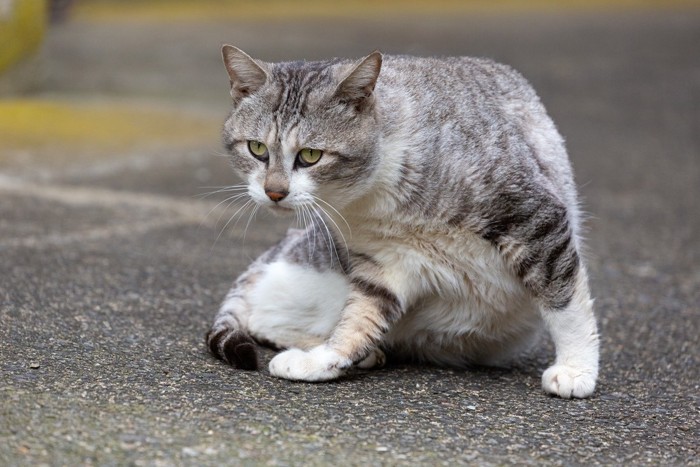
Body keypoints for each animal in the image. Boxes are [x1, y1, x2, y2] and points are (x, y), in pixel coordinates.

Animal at [205, 45, 600, 400]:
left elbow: (565, 301)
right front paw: (322, 360)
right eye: (257, 149)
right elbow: (358, 320)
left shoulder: (534, 217)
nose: (274, 192)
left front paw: (576, 368)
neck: (376, 191)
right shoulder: (383, 263)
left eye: (311, 155)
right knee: (267, 319)